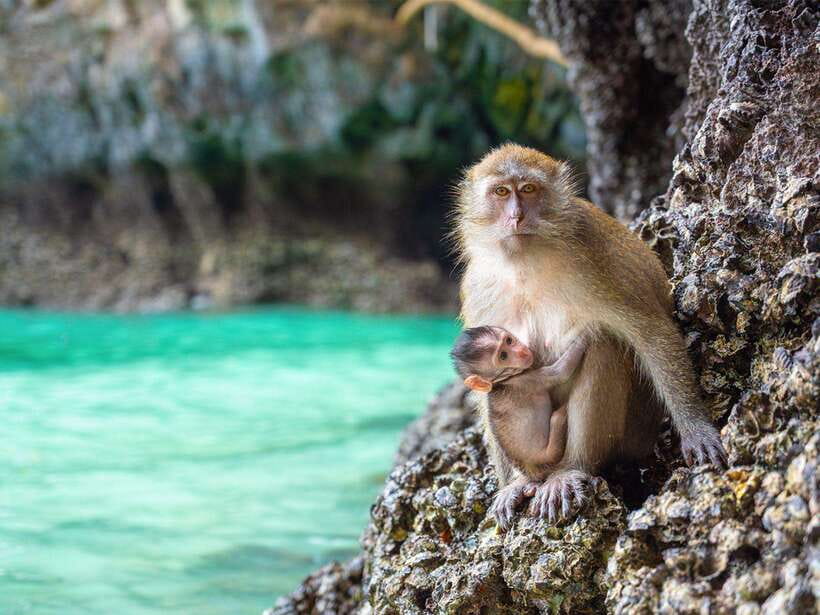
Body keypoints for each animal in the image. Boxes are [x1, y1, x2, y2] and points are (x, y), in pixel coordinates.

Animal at [450, 325, 587, 529]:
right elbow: (561, 372)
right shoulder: (529, 379)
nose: (522, 351)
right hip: (550, 452)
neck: (501, 382)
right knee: (558, 418)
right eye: (503, 356)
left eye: (508, 340)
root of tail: (533, 470)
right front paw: (583, 339)